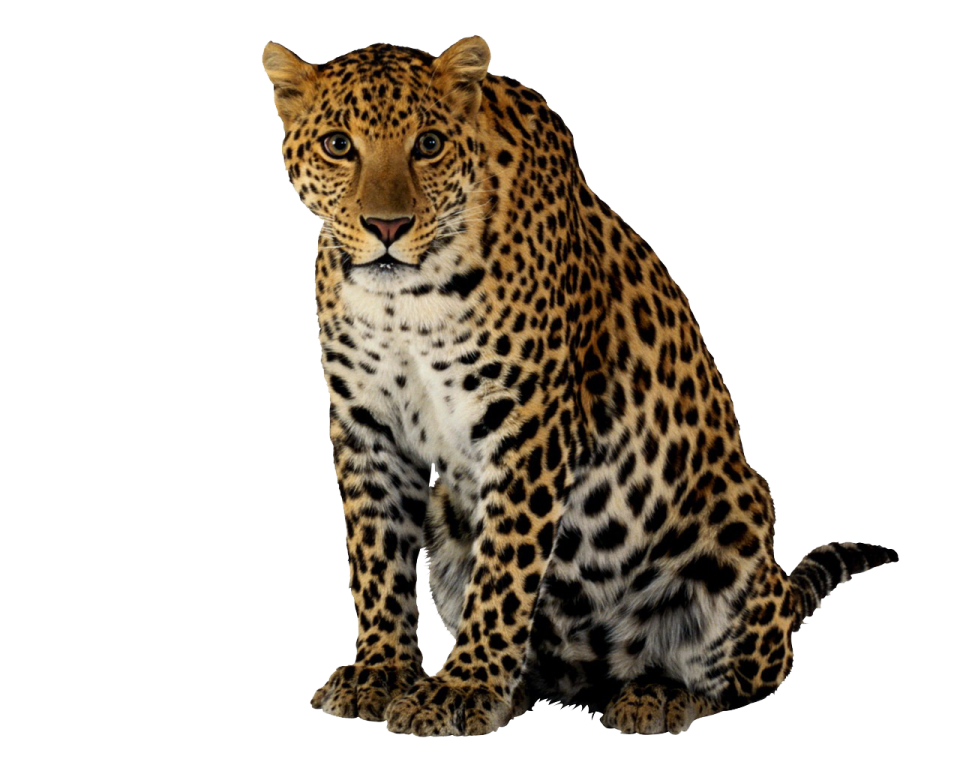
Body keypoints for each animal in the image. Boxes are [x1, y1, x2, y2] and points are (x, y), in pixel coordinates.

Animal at [262, 36, 899, 736]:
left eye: (428, 144)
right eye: (338, 145)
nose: (386, 227)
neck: (405, 299)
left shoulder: (528, 421)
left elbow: (505, 571)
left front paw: (460, 687)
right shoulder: (365, 423)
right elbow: (377, 557)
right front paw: (382, 672)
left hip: (736, 527)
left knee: (747, 675)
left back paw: (657, 694)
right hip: (449, 525)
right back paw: (524, 687)